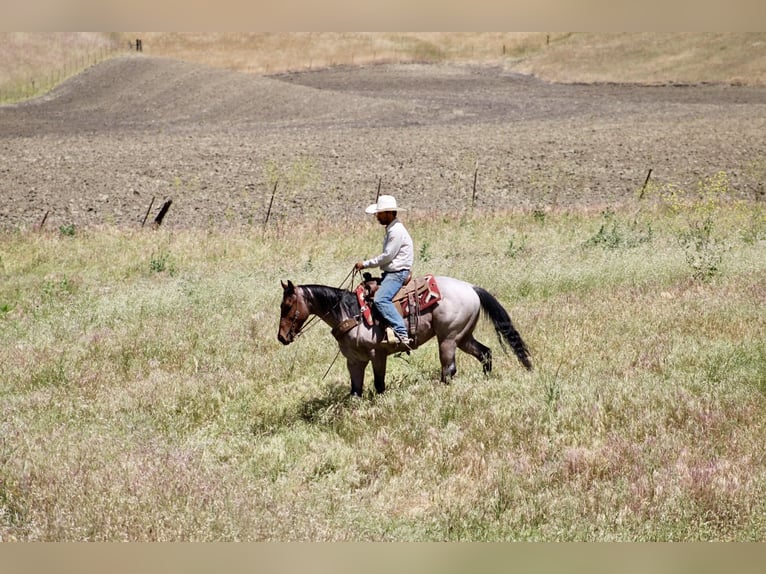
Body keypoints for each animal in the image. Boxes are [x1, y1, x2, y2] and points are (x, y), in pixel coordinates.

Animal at [277, 276, 532, 397]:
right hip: (463, 337)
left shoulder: (377, 354)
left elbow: (379, 384)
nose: (281, 337)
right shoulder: (354, 360)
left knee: (448, 369)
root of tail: (470, 287)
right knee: (485, 353)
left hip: (448, 339)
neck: (351, 312)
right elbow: (355, 390)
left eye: (287, 306)